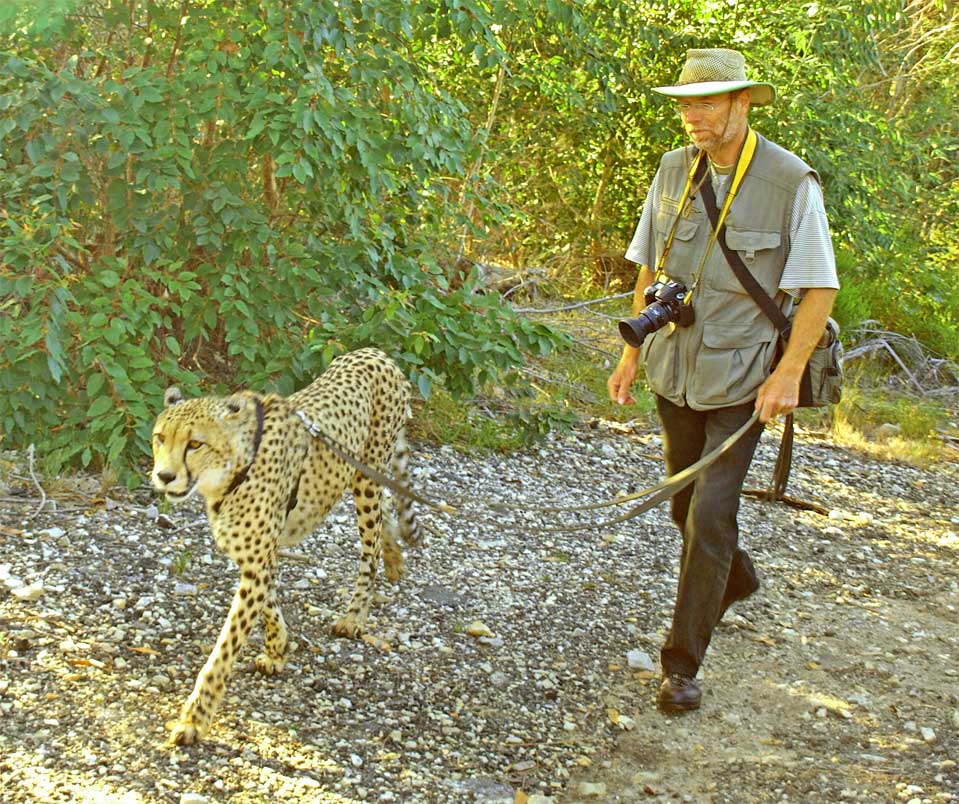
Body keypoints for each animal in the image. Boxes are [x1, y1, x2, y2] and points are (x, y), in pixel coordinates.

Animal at [151, 348, 420, 744]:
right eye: (160, 438)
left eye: (195, 444)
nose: (165, 476)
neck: (234, 466)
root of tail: (375, 352)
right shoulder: (258, 556)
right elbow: (270, 602)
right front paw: (278, 648)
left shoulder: (257, 559)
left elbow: (224, 650)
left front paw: (194, 719)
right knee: (386, 510)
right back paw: (394, 558)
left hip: (365, 476)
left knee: (369, 547)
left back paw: (355, 615)